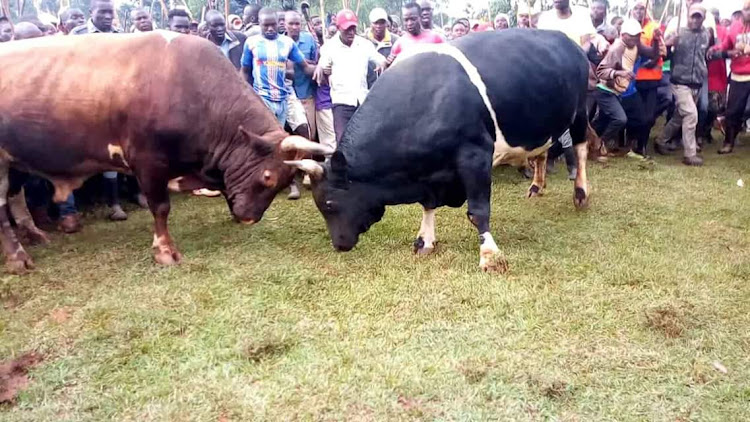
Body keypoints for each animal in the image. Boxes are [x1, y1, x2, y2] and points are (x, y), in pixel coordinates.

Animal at [0, 30, 328, 274]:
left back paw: (35, 235)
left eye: (285, 182)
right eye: (268, 177)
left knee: (15, 197)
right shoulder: (148, 163)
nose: (250, 217)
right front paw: (165, 250)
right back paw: (19, 257)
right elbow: (160, 207)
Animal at [288, 30, 592, 274]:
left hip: (579, 111)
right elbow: (428, 205)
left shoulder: (475, 154)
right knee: (543, 150)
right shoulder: (430, 175)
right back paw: (536, 186)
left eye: (329, 204)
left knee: (580, 150)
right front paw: (425, 241)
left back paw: (581, 194)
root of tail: (566, 39)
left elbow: (478, 211)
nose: (339, 245)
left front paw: (490, 256)